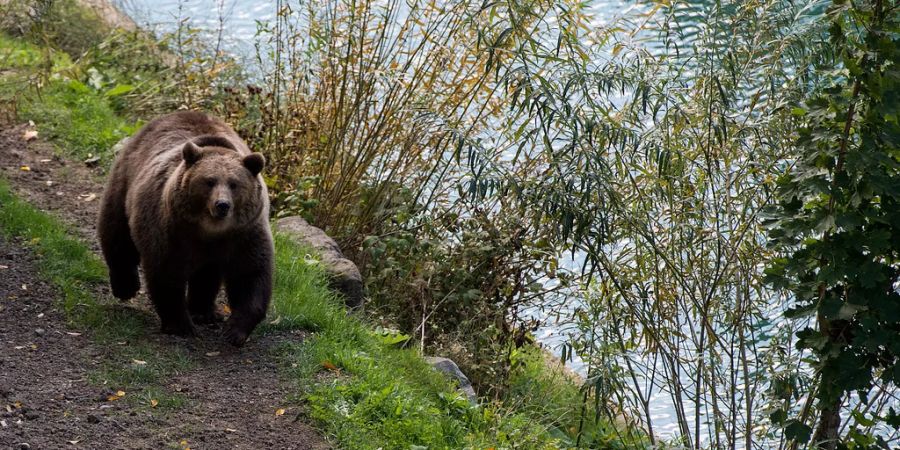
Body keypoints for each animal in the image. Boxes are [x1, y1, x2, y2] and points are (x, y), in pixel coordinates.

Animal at [98, 111, 272, 344]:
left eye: (234, 184)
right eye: (209, 181)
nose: (222, 205)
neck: (210, 230)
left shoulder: (244, 234)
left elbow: (250, 275)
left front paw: (234, 330)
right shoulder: (171, 228)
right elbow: (166, 271)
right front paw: (181, 325)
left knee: (207, 274)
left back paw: (203, 312)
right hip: (126, 179)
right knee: (117, 232)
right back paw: (125, 287)